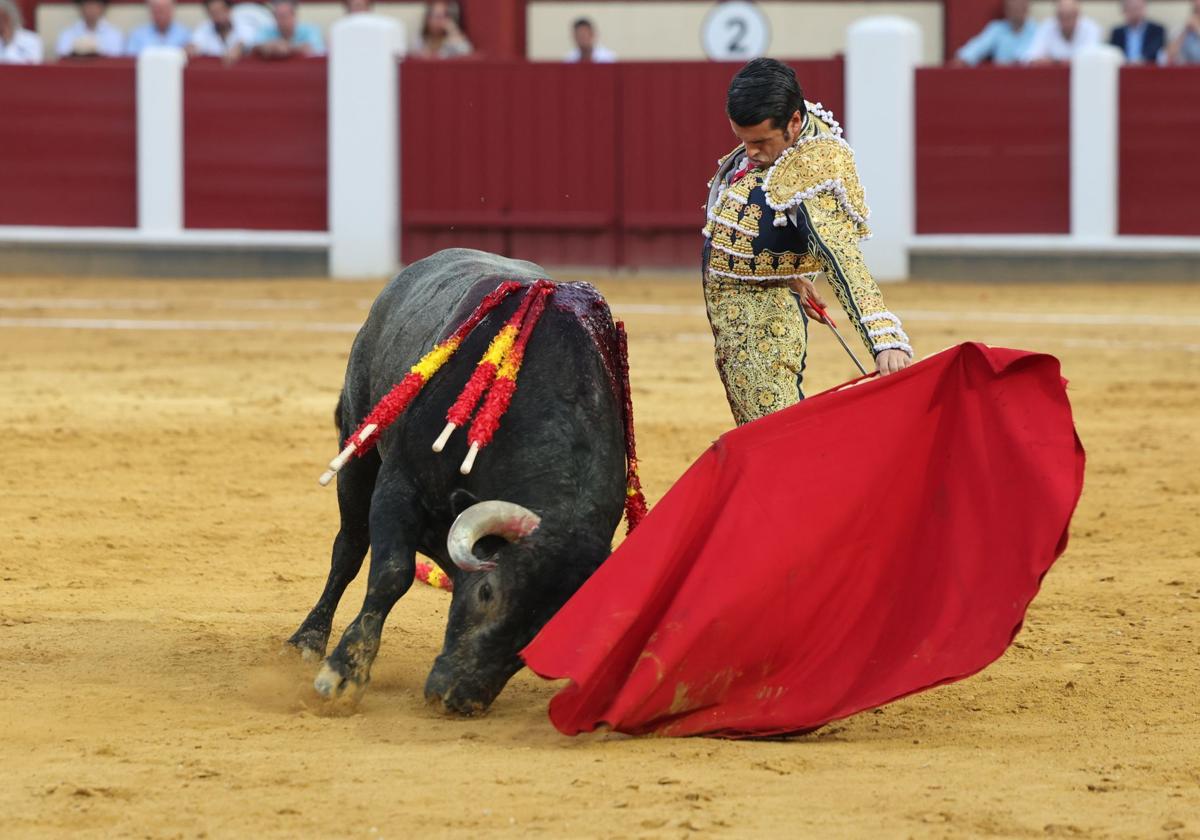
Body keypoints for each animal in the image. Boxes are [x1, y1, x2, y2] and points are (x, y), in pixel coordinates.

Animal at [286, 246, 633, 710]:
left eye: (545, 632)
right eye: (487, 593)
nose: (456, 698)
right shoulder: (399, 485)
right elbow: (391, 573)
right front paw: (343, 674)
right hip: (358, 445)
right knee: (350, 548)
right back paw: (307, 640)